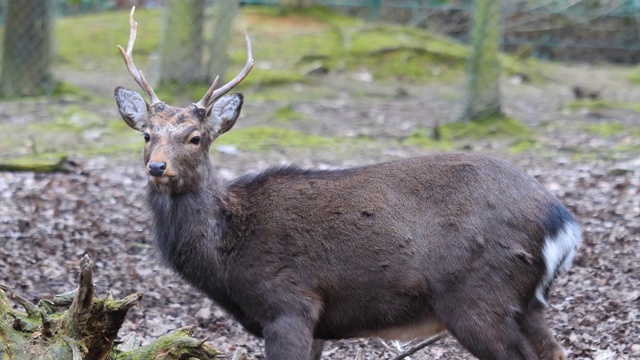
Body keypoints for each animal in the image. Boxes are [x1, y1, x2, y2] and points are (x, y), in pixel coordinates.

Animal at [114, 7, 580, 360]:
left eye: (195, 137)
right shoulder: (317, 323)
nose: (158, 167)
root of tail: (563, 221)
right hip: (528, 301)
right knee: (554, 350)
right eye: (146, 135)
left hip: (478, 295)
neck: (227, 257)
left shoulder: (289, 303)